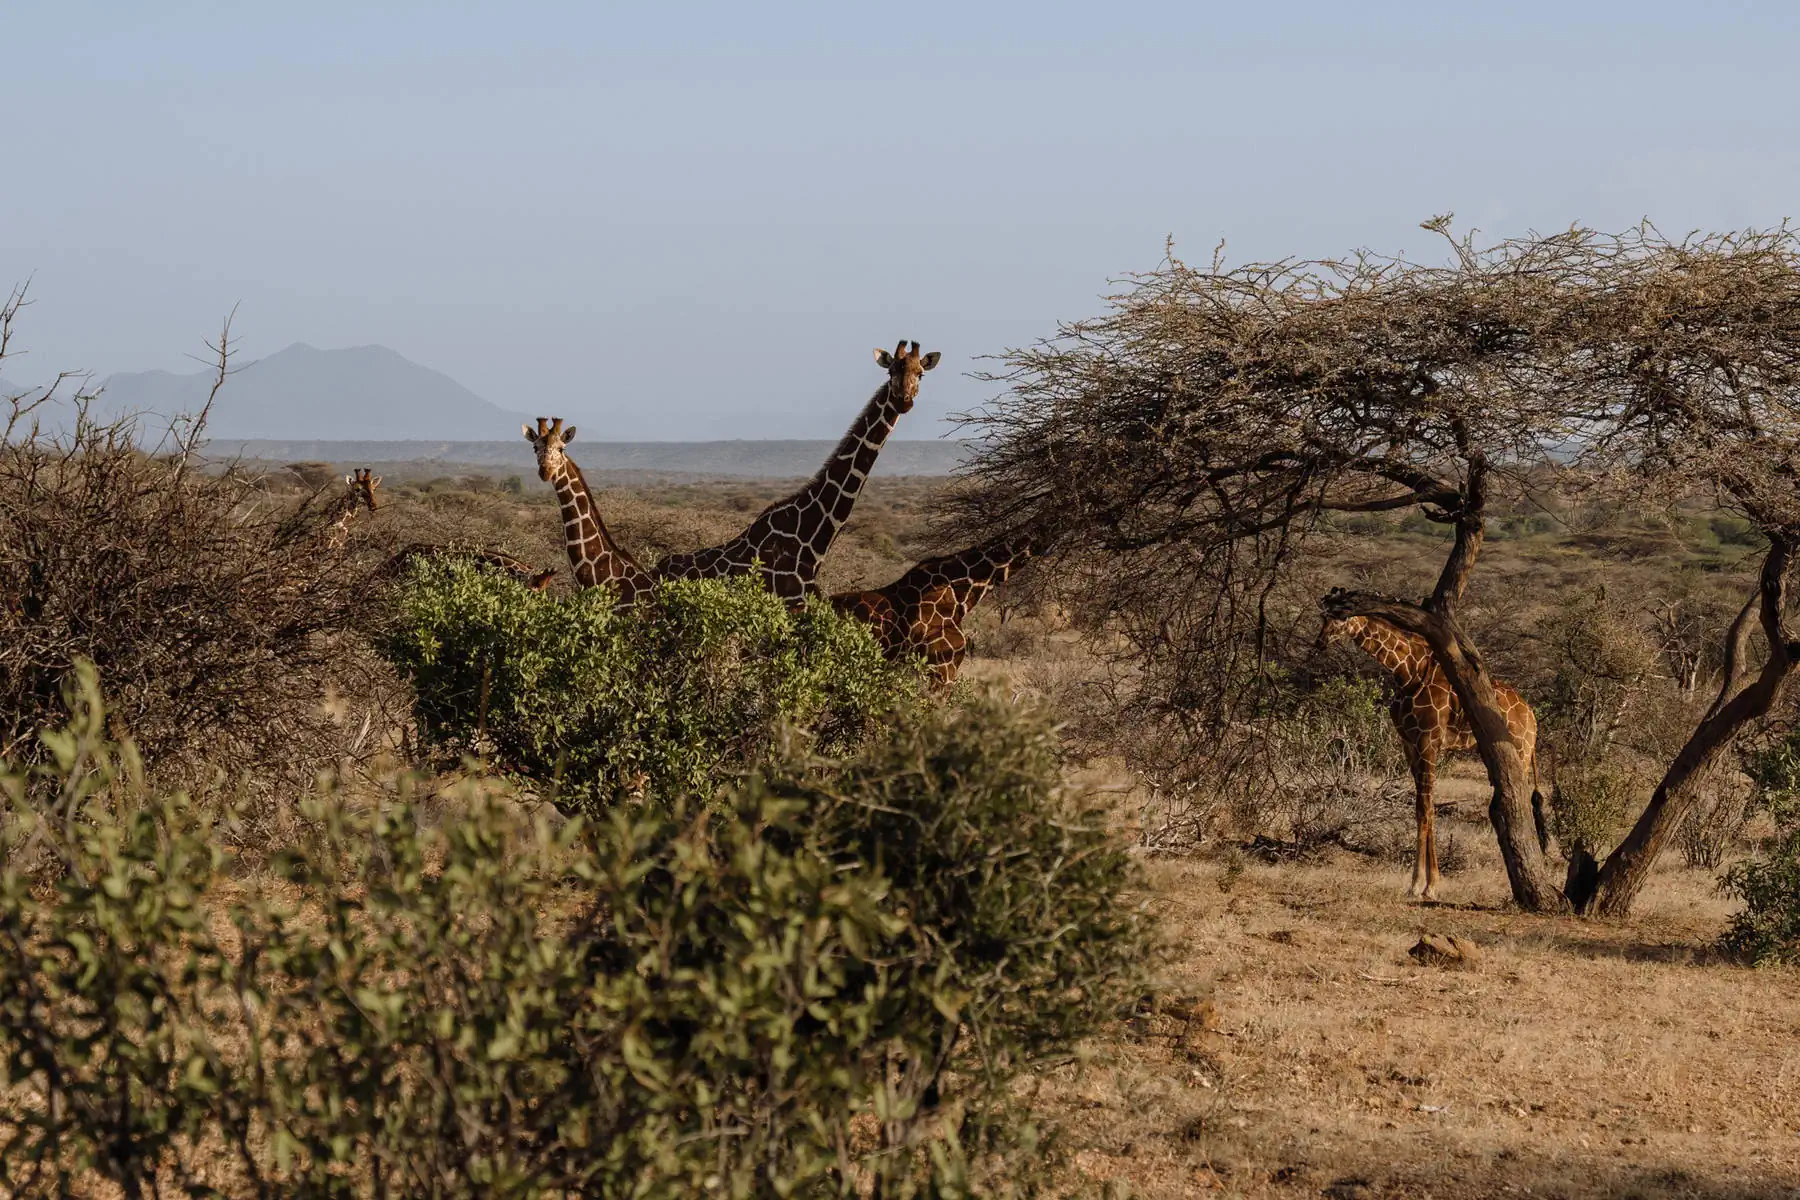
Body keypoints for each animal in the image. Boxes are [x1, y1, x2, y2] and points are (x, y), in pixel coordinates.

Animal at [1310, 615, 1548, 895]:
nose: (1320, 641)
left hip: (1520, 752)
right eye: (1324, 618)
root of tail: (1532, 716)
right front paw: (1429, 881)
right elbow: (1425, 808)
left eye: (1340, 619)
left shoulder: (1428, 741)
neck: (1407, 671)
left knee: (1520, 805)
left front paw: (1420, 885)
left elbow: (1425, 808)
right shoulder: (1410, 744)